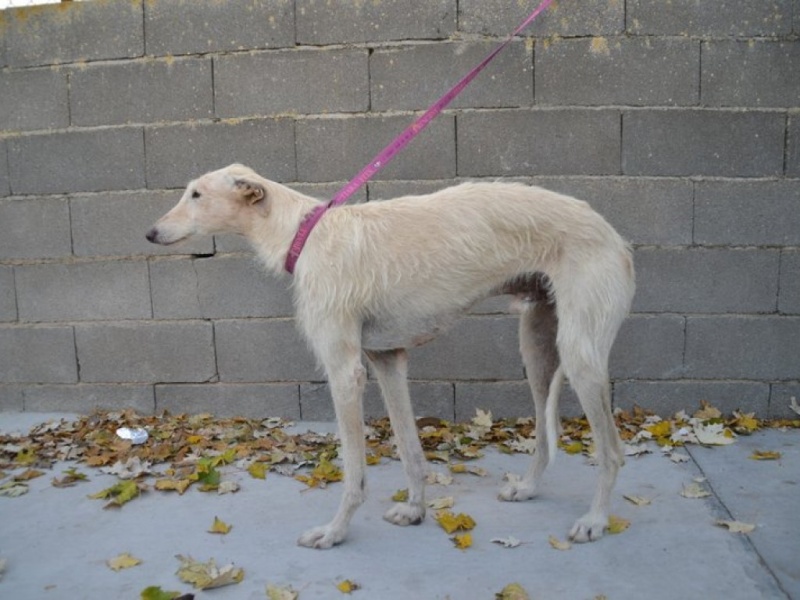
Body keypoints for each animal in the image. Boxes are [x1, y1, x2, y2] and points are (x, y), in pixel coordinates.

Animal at [147, 164, 636, 548]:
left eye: (196, 194)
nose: (149, 232)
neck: (303, 236)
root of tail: (616, 237)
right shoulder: (387, 359)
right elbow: (410, 450)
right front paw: (415, 510)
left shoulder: (344, 371)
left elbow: (353, 471)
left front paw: (334, 532)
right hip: (537, 346)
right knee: (546, 438)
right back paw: (528, 488)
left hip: (581, 355)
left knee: (612, 450)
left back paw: (595, 520)